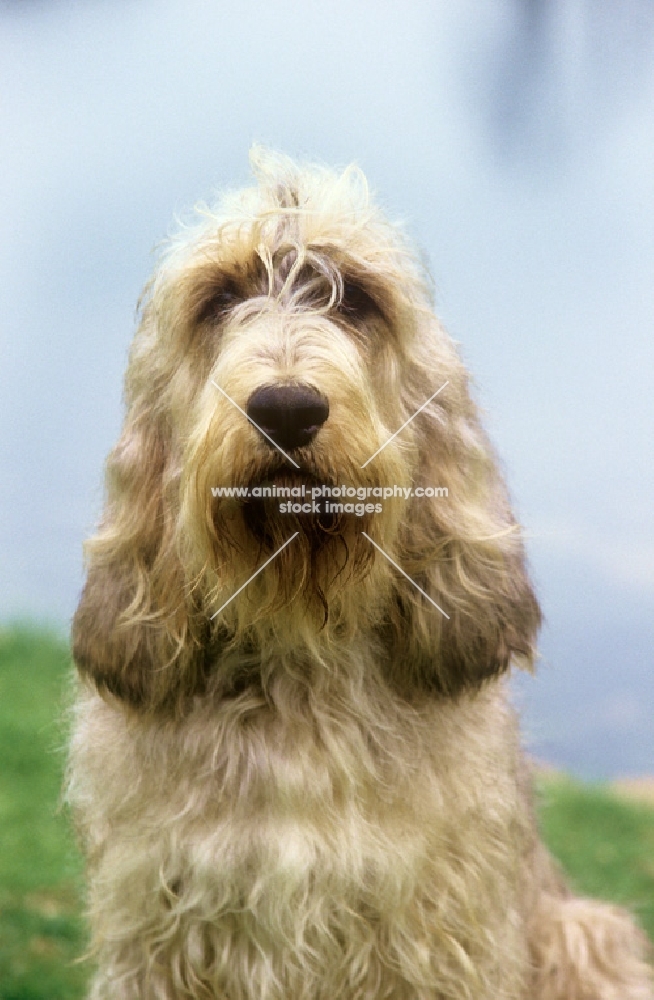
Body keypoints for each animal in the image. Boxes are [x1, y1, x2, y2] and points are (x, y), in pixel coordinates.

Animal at [68, 150, 654, 1000]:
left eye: (356, 300)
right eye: (221, 298)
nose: (285, 408)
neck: (296, 655)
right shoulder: (161, 934)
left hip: (586, 934)